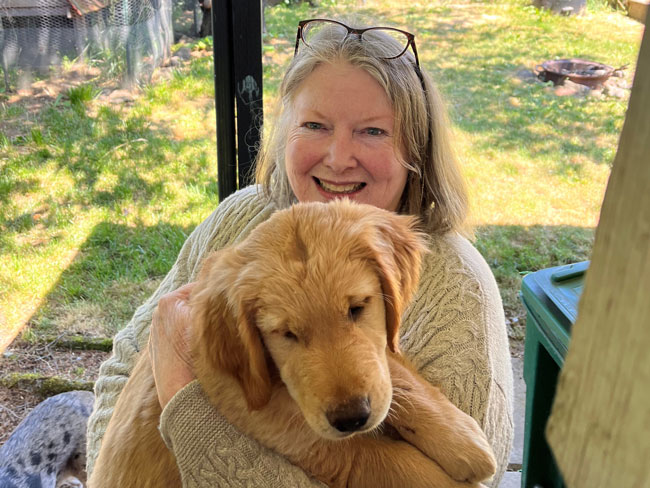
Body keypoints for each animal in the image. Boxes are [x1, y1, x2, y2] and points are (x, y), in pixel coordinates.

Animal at [88, 199, 494, 488]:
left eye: (357, 308)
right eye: (286, 334)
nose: (352, 418)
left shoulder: (375, 359)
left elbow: (391, 368)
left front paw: (460, 438)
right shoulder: (301, 437)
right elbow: (388, 463)